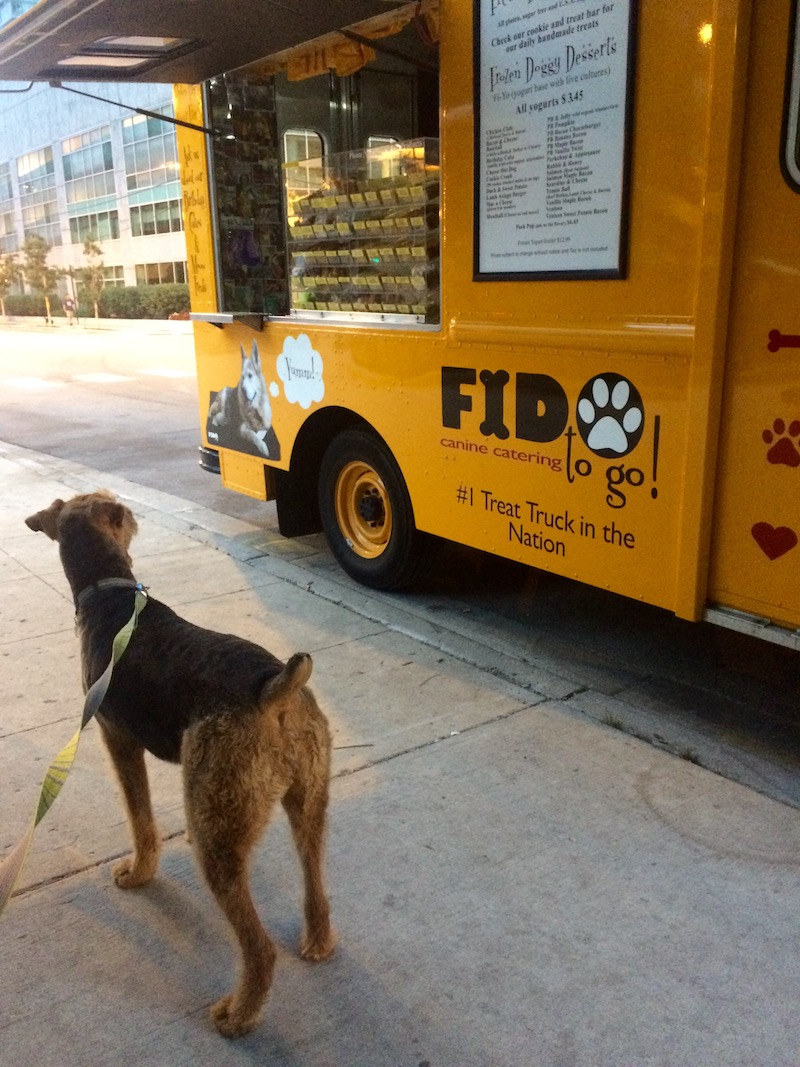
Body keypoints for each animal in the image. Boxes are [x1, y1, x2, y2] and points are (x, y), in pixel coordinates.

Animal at [23, 488, 332, 1032]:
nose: (127, 508)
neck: (108, 594)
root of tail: (276, 691)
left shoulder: (117, 738)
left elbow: (141, 819)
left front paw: (137, 874)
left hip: (215, 821)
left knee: (259, 949)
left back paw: (236, 1015)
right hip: (309, 797)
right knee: (315, 886)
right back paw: (316, 943)